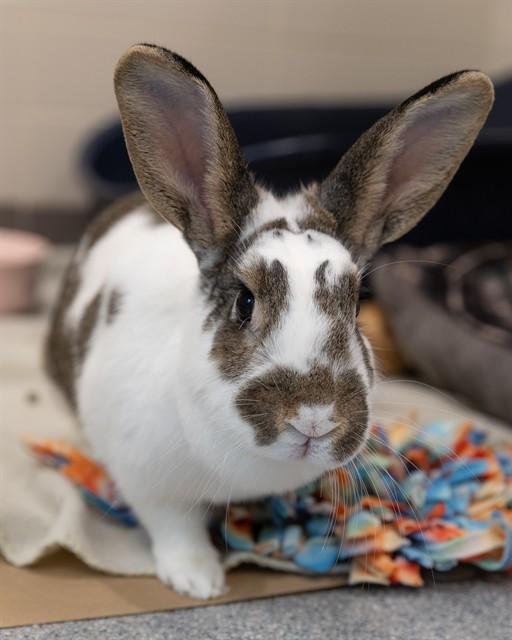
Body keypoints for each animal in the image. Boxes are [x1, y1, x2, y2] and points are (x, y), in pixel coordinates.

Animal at [45, 43, 493, 599]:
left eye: (355, 304)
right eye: (244, 302)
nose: (315, 418)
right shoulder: (148, 480)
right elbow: (173, 527)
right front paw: (198, 579)